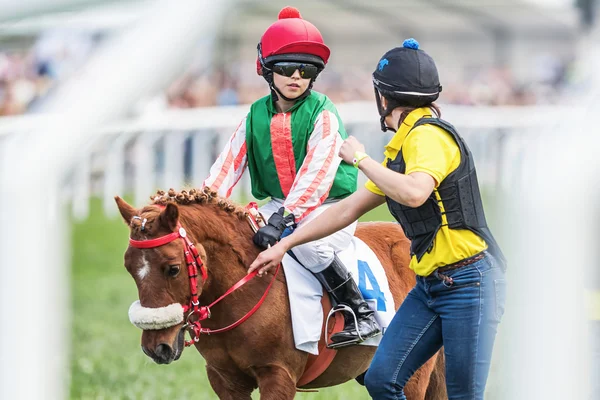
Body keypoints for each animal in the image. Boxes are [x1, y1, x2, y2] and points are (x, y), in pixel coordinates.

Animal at [116, 188, 446, 400]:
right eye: (129, 267)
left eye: (172, 268)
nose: (156, 347)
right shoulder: (226, 381)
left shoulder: (278, 376)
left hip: (413, 375)